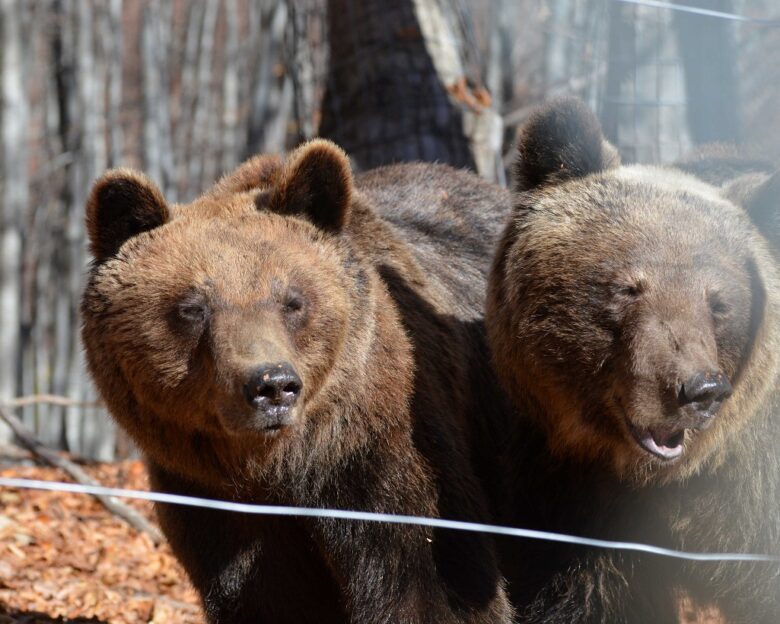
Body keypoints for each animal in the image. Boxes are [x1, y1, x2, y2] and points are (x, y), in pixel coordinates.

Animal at [82, 141, 516, 624]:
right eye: (192, 307)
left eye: (292, 300)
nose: (272, 385)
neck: (284, 465)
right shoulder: (215, 504)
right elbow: (269, 598)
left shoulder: (386, 462)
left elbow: (435, 587)